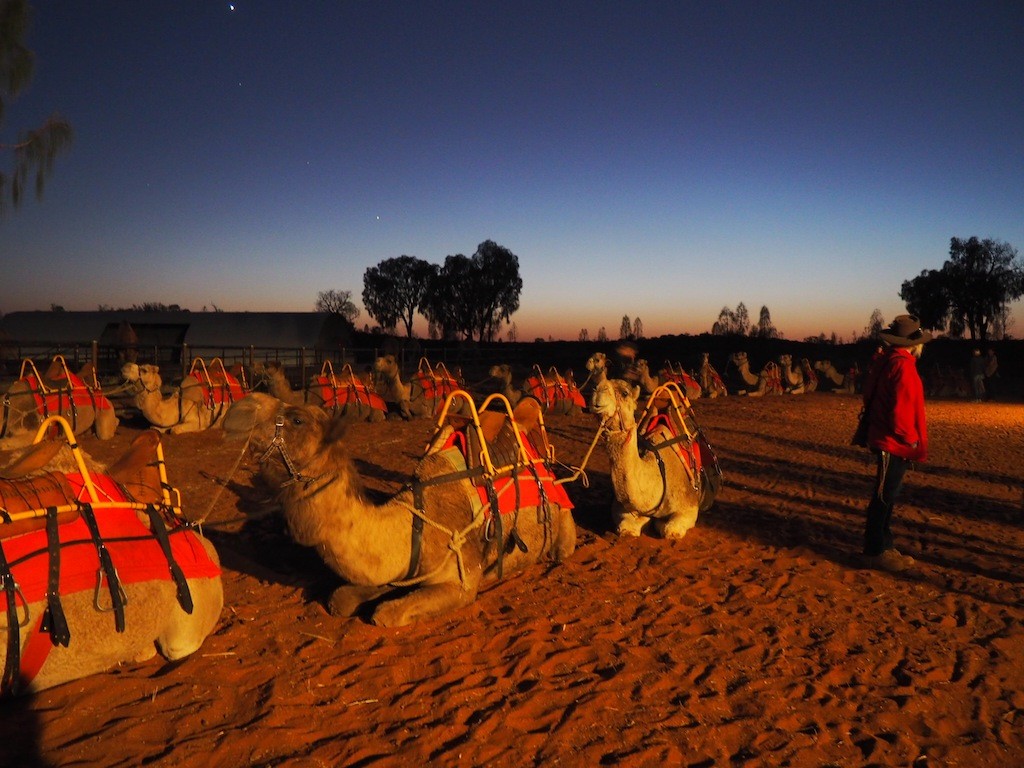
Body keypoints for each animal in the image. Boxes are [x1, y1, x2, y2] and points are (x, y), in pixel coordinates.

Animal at [221, 393, 577, 626]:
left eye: (297, 420)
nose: (241, 406)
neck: (413, 523)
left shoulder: (462, 584)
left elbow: (385, 614)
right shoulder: (399, 569)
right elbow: (341, 599)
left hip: (563, 527)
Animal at [589, 380, 716, 536]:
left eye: (625, 393)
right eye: (595, 386)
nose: (598, 389)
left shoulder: (688, 505)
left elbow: (669, 530)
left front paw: (659, 523)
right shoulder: (620, 507)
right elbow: (626, 528)